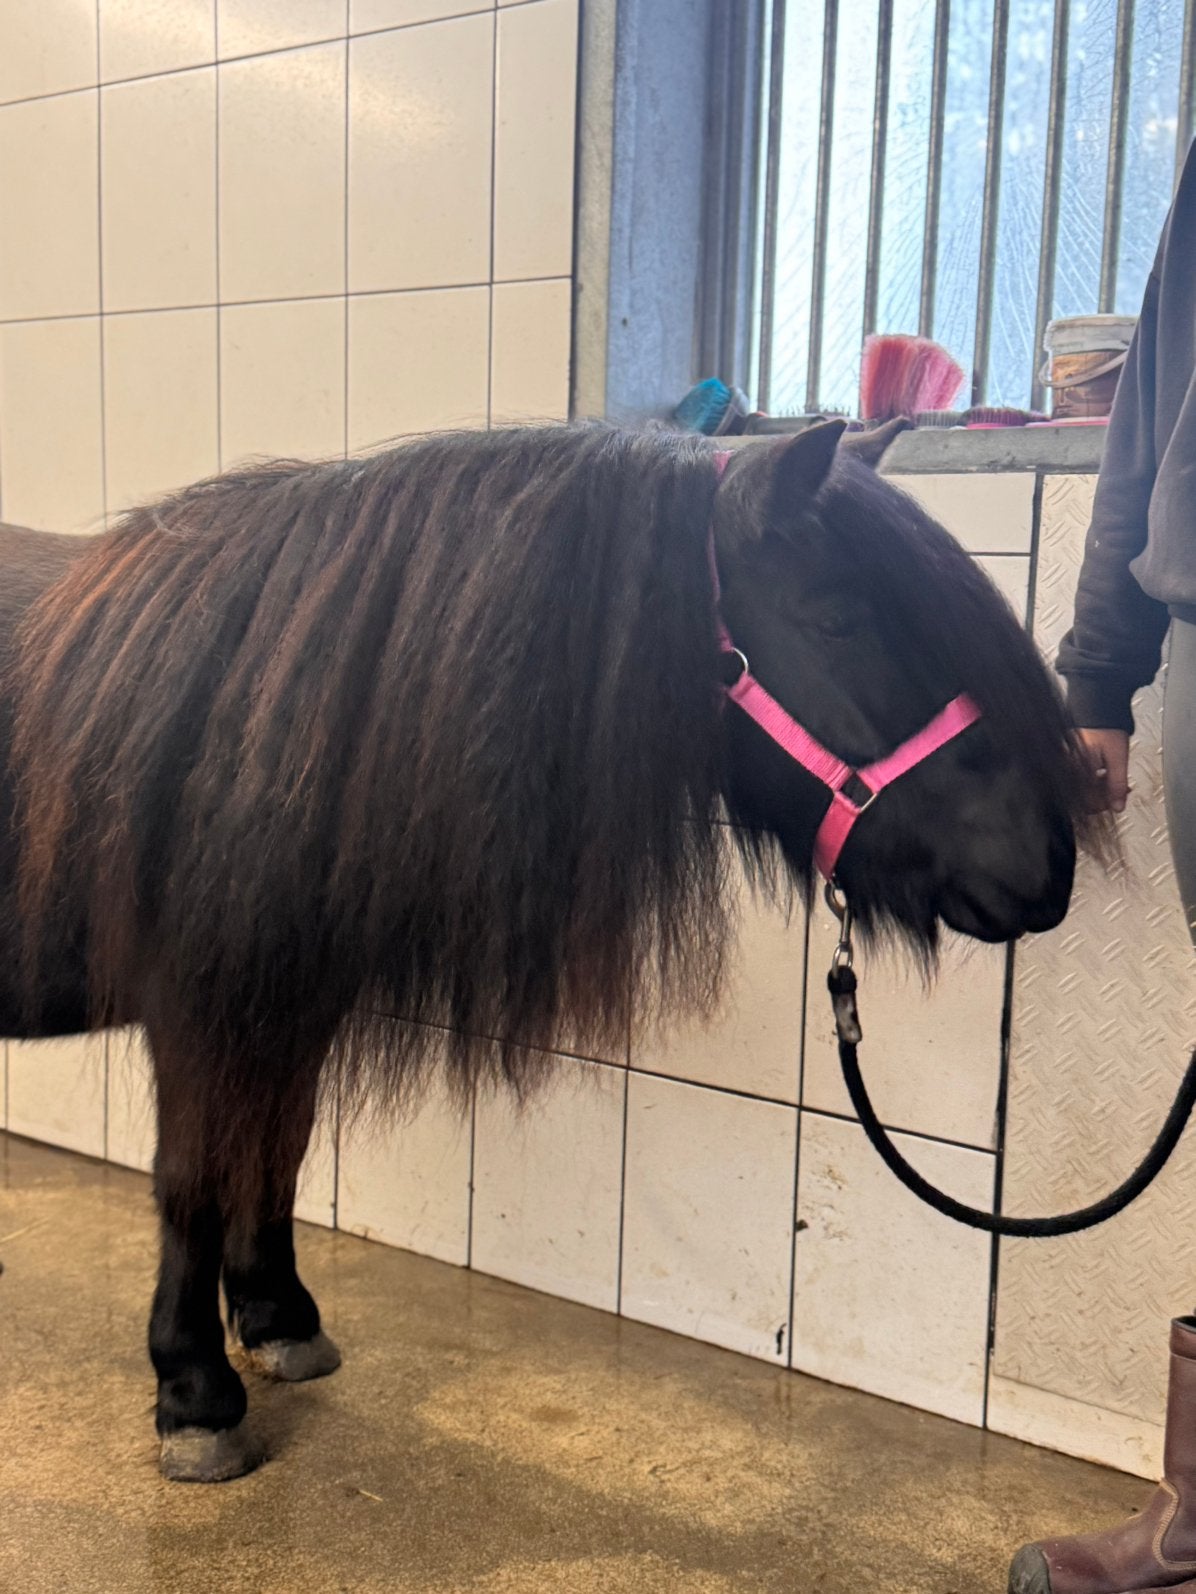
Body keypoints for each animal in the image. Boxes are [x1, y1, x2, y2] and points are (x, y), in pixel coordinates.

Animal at [0, 419, 1100, 1482]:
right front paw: (194, 1394)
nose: (1044, 864)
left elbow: (276, 1148)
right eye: (835, 616)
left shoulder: (290, 1000)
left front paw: (278, 1323)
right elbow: (193, 1177)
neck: (260, 721)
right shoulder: (198, 1006)